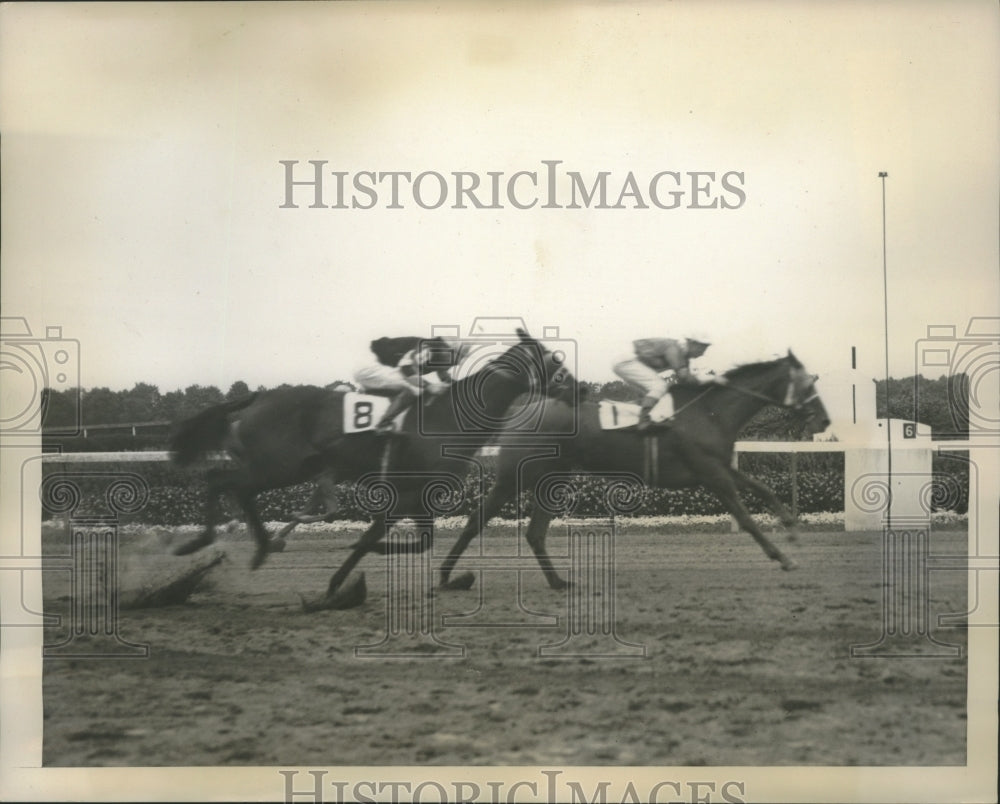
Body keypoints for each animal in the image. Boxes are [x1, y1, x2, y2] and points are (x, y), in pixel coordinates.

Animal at [440, 352, 836, 592]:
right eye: (808, 384)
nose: (824, 420)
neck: (710, 413)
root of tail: (521, 410)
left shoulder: (721, 468)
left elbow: (764, 490)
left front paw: (793, 529)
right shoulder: (713, 475)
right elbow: (746, 517)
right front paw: (783, 557)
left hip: (553, 481)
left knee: (535, 533)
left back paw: (558, 582)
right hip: (513, 478)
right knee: (475, 521)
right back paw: (446, 576)